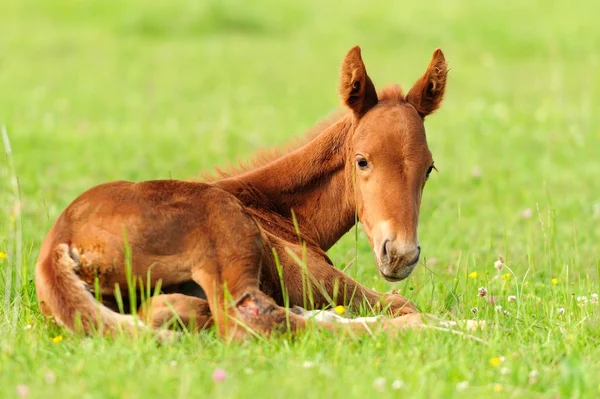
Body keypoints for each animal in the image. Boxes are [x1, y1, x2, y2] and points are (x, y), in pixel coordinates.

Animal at [32, 46, 446, 340]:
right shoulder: (320, 279)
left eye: (429, 168)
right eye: (362, 161)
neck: (272, 210)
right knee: (251, 320)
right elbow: (400, 301)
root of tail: (57, 244)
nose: (400, 254)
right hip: (230, 240)